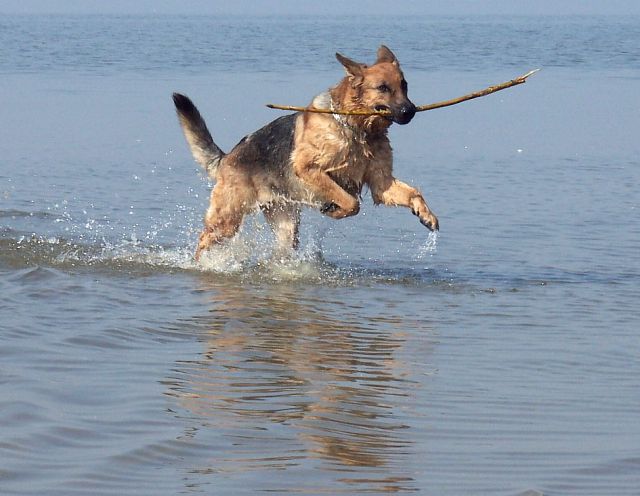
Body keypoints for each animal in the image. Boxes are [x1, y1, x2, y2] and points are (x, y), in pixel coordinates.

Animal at [172, 47, 438, 262]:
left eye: (404, 86)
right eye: (383, 88)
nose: (411, 111)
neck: (357, 129)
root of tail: (227, 157)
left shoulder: (381, 183)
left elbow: (414, 193)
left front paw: (426, 215)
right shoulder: (310, 169)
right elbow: (351, 203)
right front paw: (335, 209)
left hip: (285, 226)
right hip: (227, 220)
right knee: (203, 240)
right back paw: (201, 263)